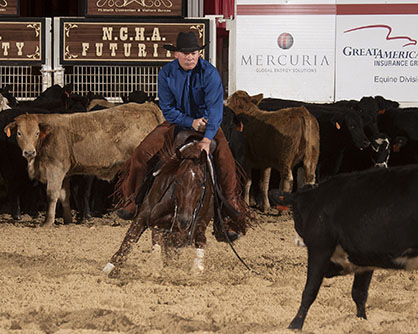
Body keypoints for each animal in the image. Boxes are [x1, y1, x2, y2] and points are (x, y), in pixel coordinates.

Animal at [5, 102, 165, 227]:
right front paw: (68, 220)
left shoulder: (55, 169)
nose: (29, 152)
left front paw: (47, 222)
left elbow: (52, 194)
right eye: (19, 133)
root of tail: (146, 106)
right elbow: (64, 195)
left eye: (37, 133)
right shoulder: (65, 173)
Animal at [103, 132, 216, 276]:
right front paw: (109, 268)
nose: (184, 220)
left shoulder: (186, 227)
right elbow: (130, 238)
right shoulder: (145, 216)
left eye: (201, 183)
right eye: (177, 180)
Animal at [272, 164, 418, 328]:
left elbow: (310, 290)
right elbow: (359, 293)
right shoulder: (366, 254)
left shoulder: (320, 247)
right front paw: (361, 320)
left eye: (296, 214)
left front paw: (294, 326)